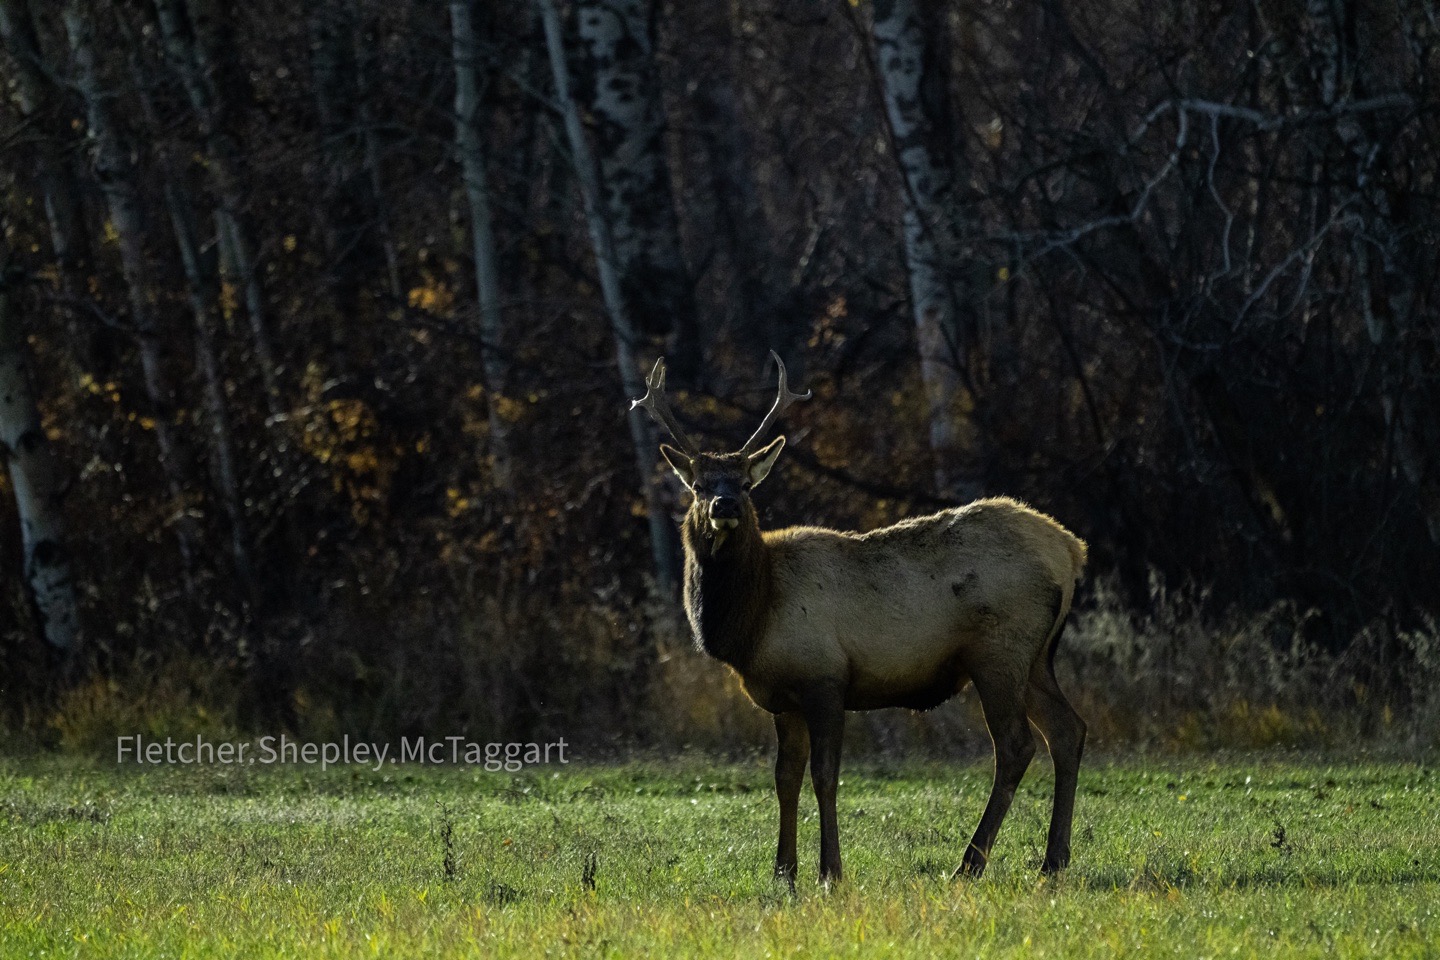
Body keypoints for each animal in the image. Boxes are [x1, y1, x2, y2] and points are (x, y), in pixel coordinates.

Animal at [632, 353, 1088, 887]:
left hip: (1000, 650)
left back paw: (970, 863)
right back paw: (1053, 861)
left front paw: (830, 871)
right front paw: (782, 872)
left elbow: (825, 776)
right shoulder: (783, 697)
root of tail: (1072, 551)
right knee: (1068, 731)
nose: (724, 506)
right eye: (699, 485)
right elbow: (784, 778)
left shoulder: (825, 677)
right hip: (1036, 657)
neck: (753, 619)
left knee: (1016, 746)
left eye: (745, 484)